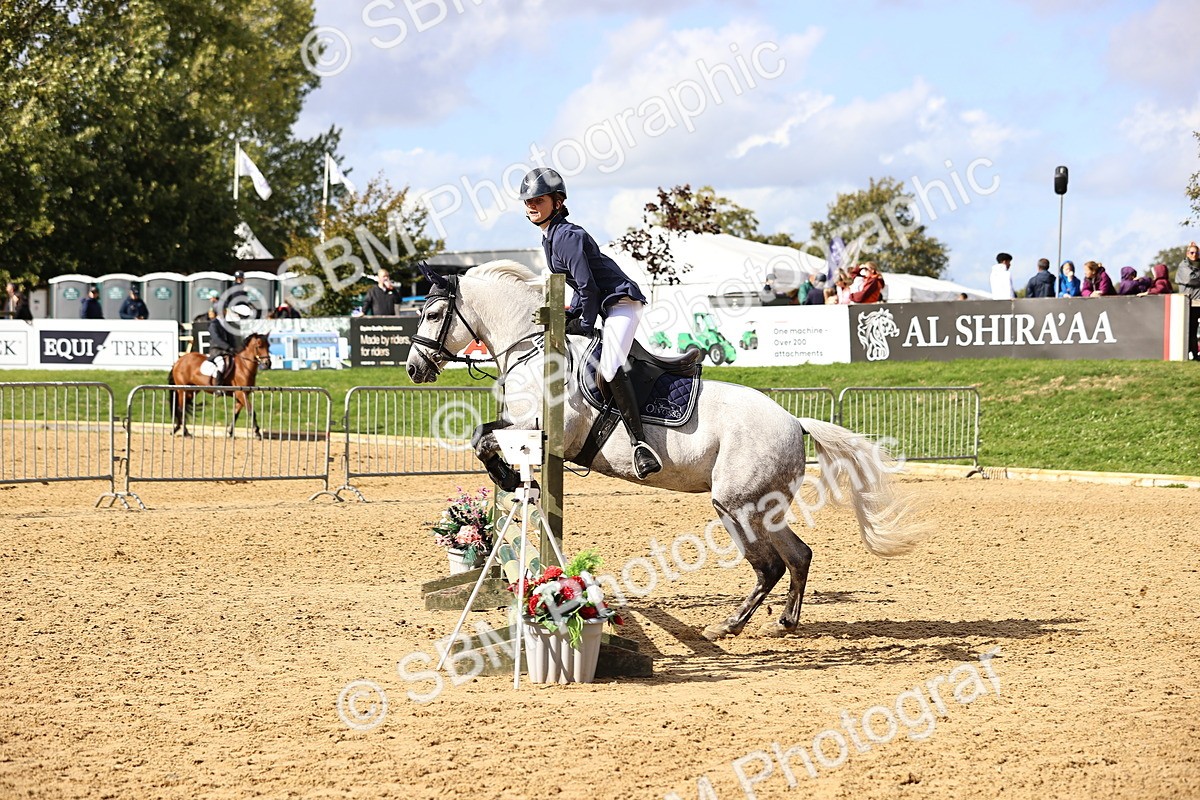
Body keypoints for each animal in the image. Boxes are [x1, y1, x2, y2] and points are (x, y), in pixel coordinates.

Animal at [405, 261, 926, 641]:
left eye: (432, 314)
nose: (414, 369)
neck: (534, 348)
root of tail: (794, 421)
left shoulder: (546, 433)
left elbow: (485, 439)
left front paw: (507, 477)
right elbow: (482, 433)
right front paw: (509, 479)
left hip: (737, 504)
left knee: (771, 565)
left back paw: (728, 626)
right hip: (763, 506)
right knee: (798, 556)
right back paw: (784, 622)